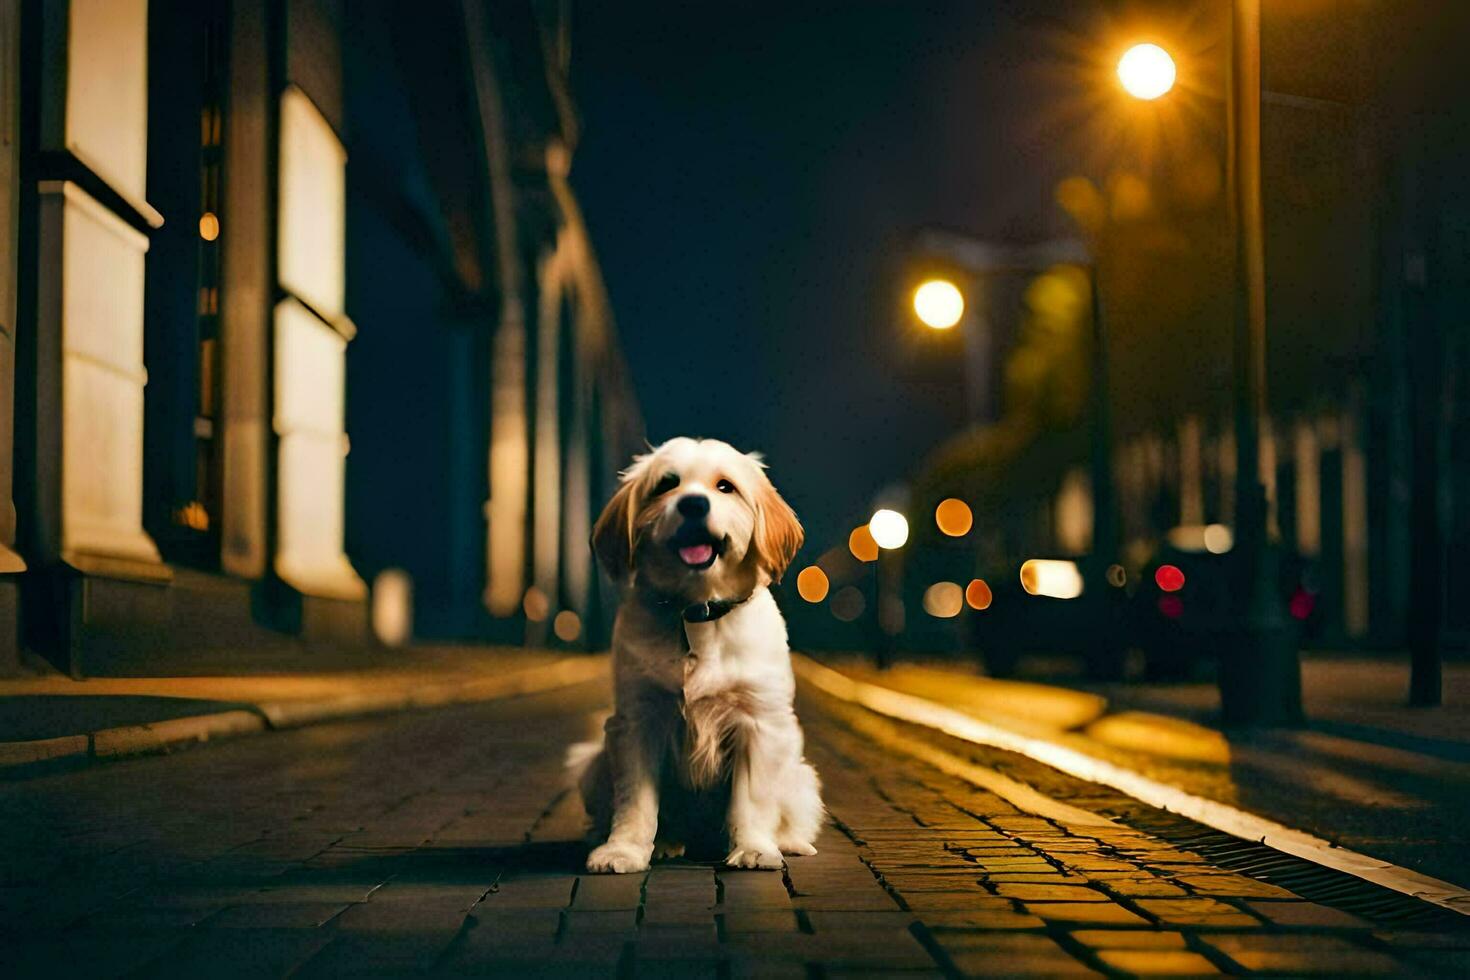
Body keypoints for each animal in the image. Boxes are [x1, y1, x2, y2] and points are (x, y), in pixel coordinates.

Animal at [573, 437, 829, 875]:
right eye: (666, 484)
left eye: (725, 486)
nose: (693, 503)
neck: (695, 611)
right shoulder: (637, 721)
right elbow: (636, 803)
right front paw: (623, 850)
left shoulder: (758, 722)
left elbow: (751, 800)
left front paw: (754, 848)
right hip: (594, 764)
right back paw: (659, 843)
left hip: (801, 776)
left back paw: (789, 842)